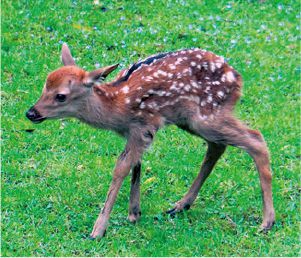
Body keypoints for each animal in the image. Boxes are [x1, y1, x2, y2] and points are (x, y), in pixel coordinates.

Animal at [25, 43, 274, 239]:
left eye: (61, 96)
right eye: (44, 86)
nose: (31, 113)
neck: (117, 108)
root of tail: (238, 78)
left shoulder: (142, 126)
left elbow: (121, 168)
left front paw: (98, 230)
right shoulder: (138, 133)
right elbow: (137, 165)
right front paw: (134, 213)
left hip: (206, 115)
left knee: (256, 139)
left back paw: (267, 222)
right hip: (191, 120)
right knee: (218, 146)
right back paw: (180, 205)